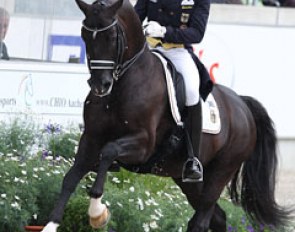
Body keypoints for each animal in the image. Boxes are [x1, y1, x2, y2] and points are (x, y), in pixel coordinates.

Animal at [41, 0, 292, 232]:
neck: (123, 85)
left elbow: (108, 152)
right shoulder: (91, 139)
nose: (100, 86)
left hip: (220, 172)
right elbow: (70, 178)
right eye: (84, 36)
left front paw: (97, 213)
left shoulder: (143, 145)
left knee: (202, 219)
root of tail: (242, 105)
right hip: (187, 181)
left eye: (112, 36)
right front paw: (51, 225)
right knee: (217, 218)